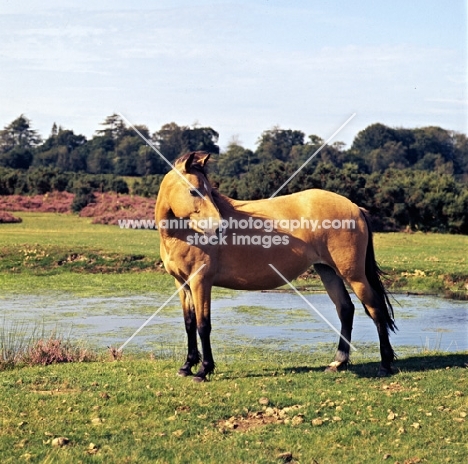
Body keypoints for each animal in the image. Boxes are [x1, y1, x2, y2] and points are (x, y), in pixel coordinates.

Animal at [156, 152, 394, 380]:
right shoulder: (183, 284)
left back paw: (385, 365)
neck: (183, 233)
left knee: (375, 309)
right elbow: (189, 323)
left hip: (354, 275)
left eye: (209, 190)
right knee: (345, 309)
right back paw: (339, 362)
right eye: (194, 191)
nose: (219, 228)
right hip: (328, 272)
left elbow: (203, 325)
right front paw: (187, 366)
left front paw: (204, 370)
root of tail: (354, 207)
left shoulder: (201, 282)